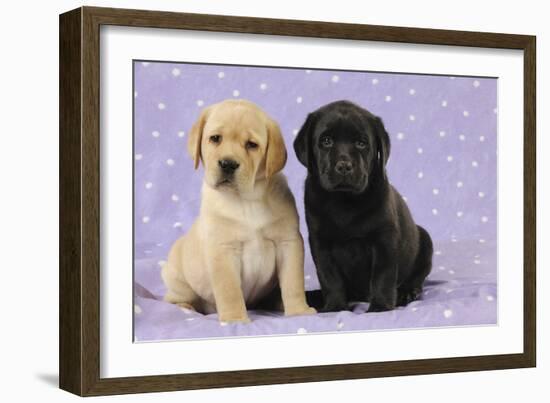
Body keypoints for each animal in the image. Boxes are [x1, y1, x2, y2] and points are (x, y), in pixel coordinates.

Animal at [162, 99, 314, 324]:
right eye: (215, 138)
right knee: (173, 298)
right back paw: (186, 307)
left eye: (252, 144)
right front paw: (235, 319)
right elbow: (229, 290)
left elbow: (293, 282)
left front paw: (298, 311)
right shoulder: (223, 250)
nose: (228, 164)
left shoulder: (289, 242)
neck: (246, 200)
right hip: (177, 277)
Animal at [296, 100, 434, 312]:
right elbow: (329, 277)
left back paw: (406, 292)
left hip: (425, 242)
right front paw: (335, 307)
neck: (344, 201)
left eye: (361, 143)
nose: (344, 166)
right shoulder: (320, 243)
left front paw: (380, 306)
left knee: (416, 278)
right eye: (326, 141)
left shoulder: (384, 239)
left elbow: (382, 276)